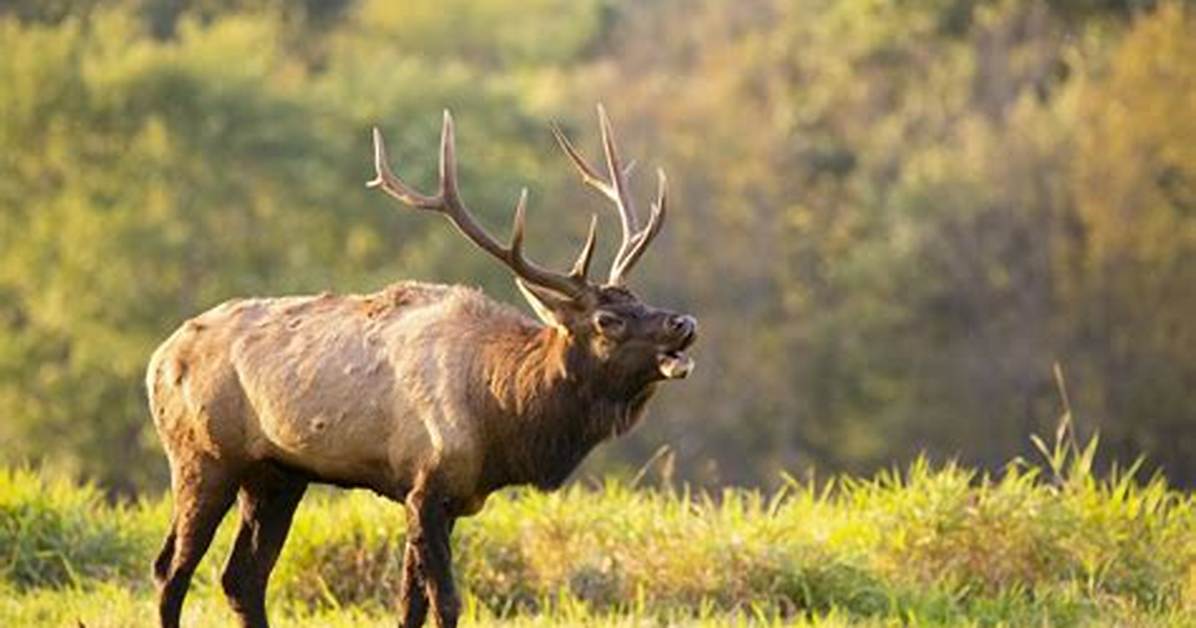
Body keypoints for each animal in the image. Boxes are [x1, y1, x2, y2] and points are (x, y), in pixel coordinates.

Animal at [146, 105, 697, 628]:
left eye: (639, 299)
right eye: (607, 320)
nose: (684, 322)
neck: (502, 417)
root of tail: (157, 360)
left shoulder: (447, 498)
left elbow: (409, 605)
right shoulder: (425, 485)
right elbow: (445, 603)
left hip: (276, 474)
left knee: (241, 577)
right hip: (203, 456)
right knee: (171, 569)